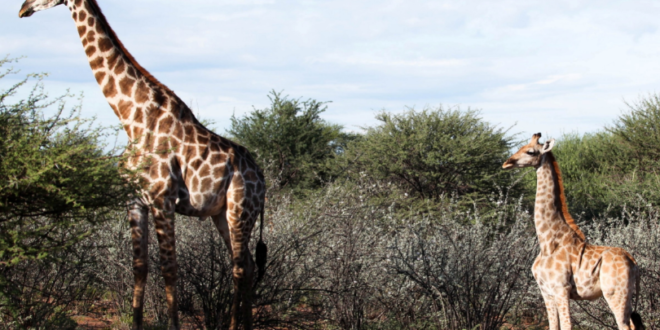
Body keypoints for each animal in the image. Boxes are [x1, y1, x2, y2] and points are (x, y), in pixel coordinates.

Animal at [20, 0, 268, 330]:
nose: (22, 10)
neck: (131, 118)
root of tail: (262, 179)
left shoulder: (163, 199)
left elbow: (170, 268)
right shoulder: (135, 201)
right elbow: (139, 266)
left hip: (241, 209)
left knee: (240, 268)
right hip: (222, 214)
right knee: (247, 266)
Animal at [502, 133, 640, 330]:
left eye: (531, 151)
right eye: (521, 147)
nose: (507, 163)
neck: (548, 243)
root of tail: (634, 262)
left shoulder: (561, 289)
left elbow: (567, 326)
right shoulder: (546, 291)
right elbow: (553, 326)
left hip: (615, 293)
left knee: (624, 325)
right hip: (626, 296)